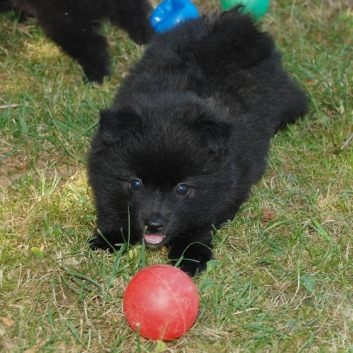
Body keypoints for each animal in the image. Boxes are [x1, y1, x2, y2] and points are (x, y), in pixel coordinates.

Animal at [88, 6, 308, 274]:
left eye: (183, 189)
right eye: (135, 183)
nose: (154, 223)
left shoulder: (225, 190)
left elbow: (201, 224)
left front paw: (190, 255)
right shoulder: (102, 171)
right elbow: (109, 204)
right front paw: (109, 238)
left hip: (285, 100)